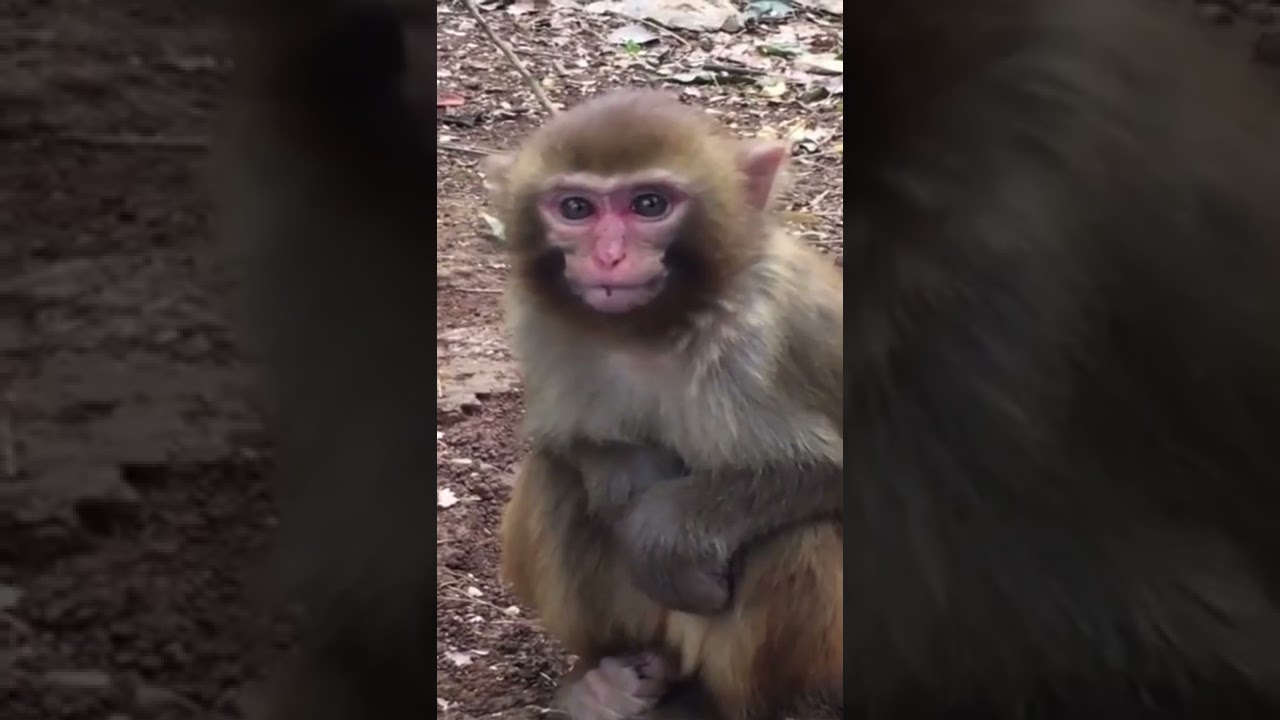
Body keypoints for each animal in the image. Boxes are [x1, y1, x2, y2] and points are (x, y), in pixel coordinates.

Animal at [488, 90, 844, 720]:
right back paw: (604, 679)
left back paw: (712, 702)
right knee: (557, 479)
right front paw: (627, 478)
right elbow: (566, 442)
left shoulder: (773, 332)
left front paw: (664, 531)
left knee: (798, 538)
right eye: (575, 208)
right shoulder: (539, 328)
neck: (652, 331)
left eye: (649, 204)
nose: (608, 258)